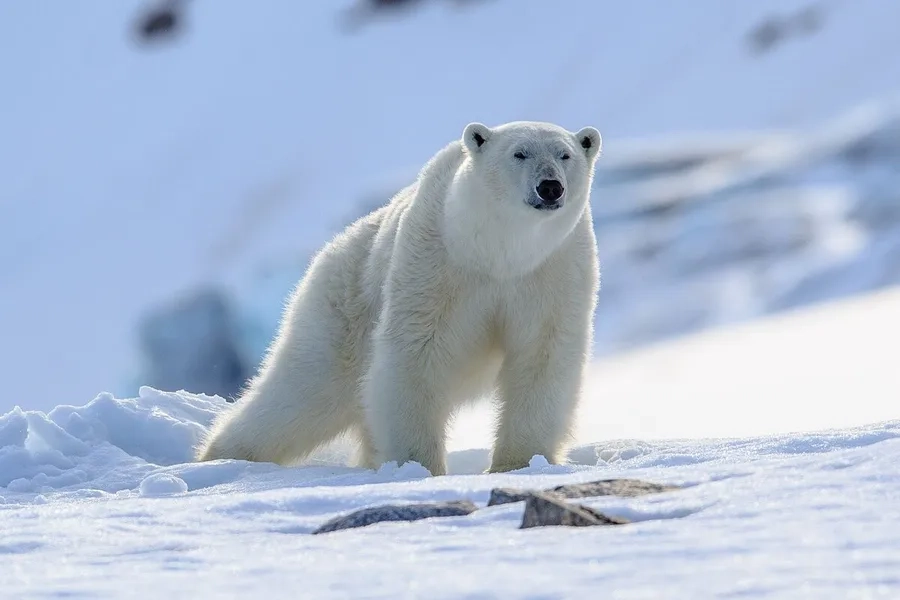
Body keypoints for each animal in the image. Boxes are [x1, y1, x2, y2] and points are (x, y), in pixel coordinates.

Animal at [198, 120, 604, 478]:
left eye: (565, 154)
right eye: (519, 153)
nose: (549, 187)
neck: (497, 253)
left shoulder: (553, 271)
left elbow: (543, 355)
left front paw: (518, 463)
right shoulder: (435, 262)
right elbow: (417, 352)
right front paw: (418, 465)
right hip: (344, 308)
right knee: (304, 390)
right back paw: (222, 457)